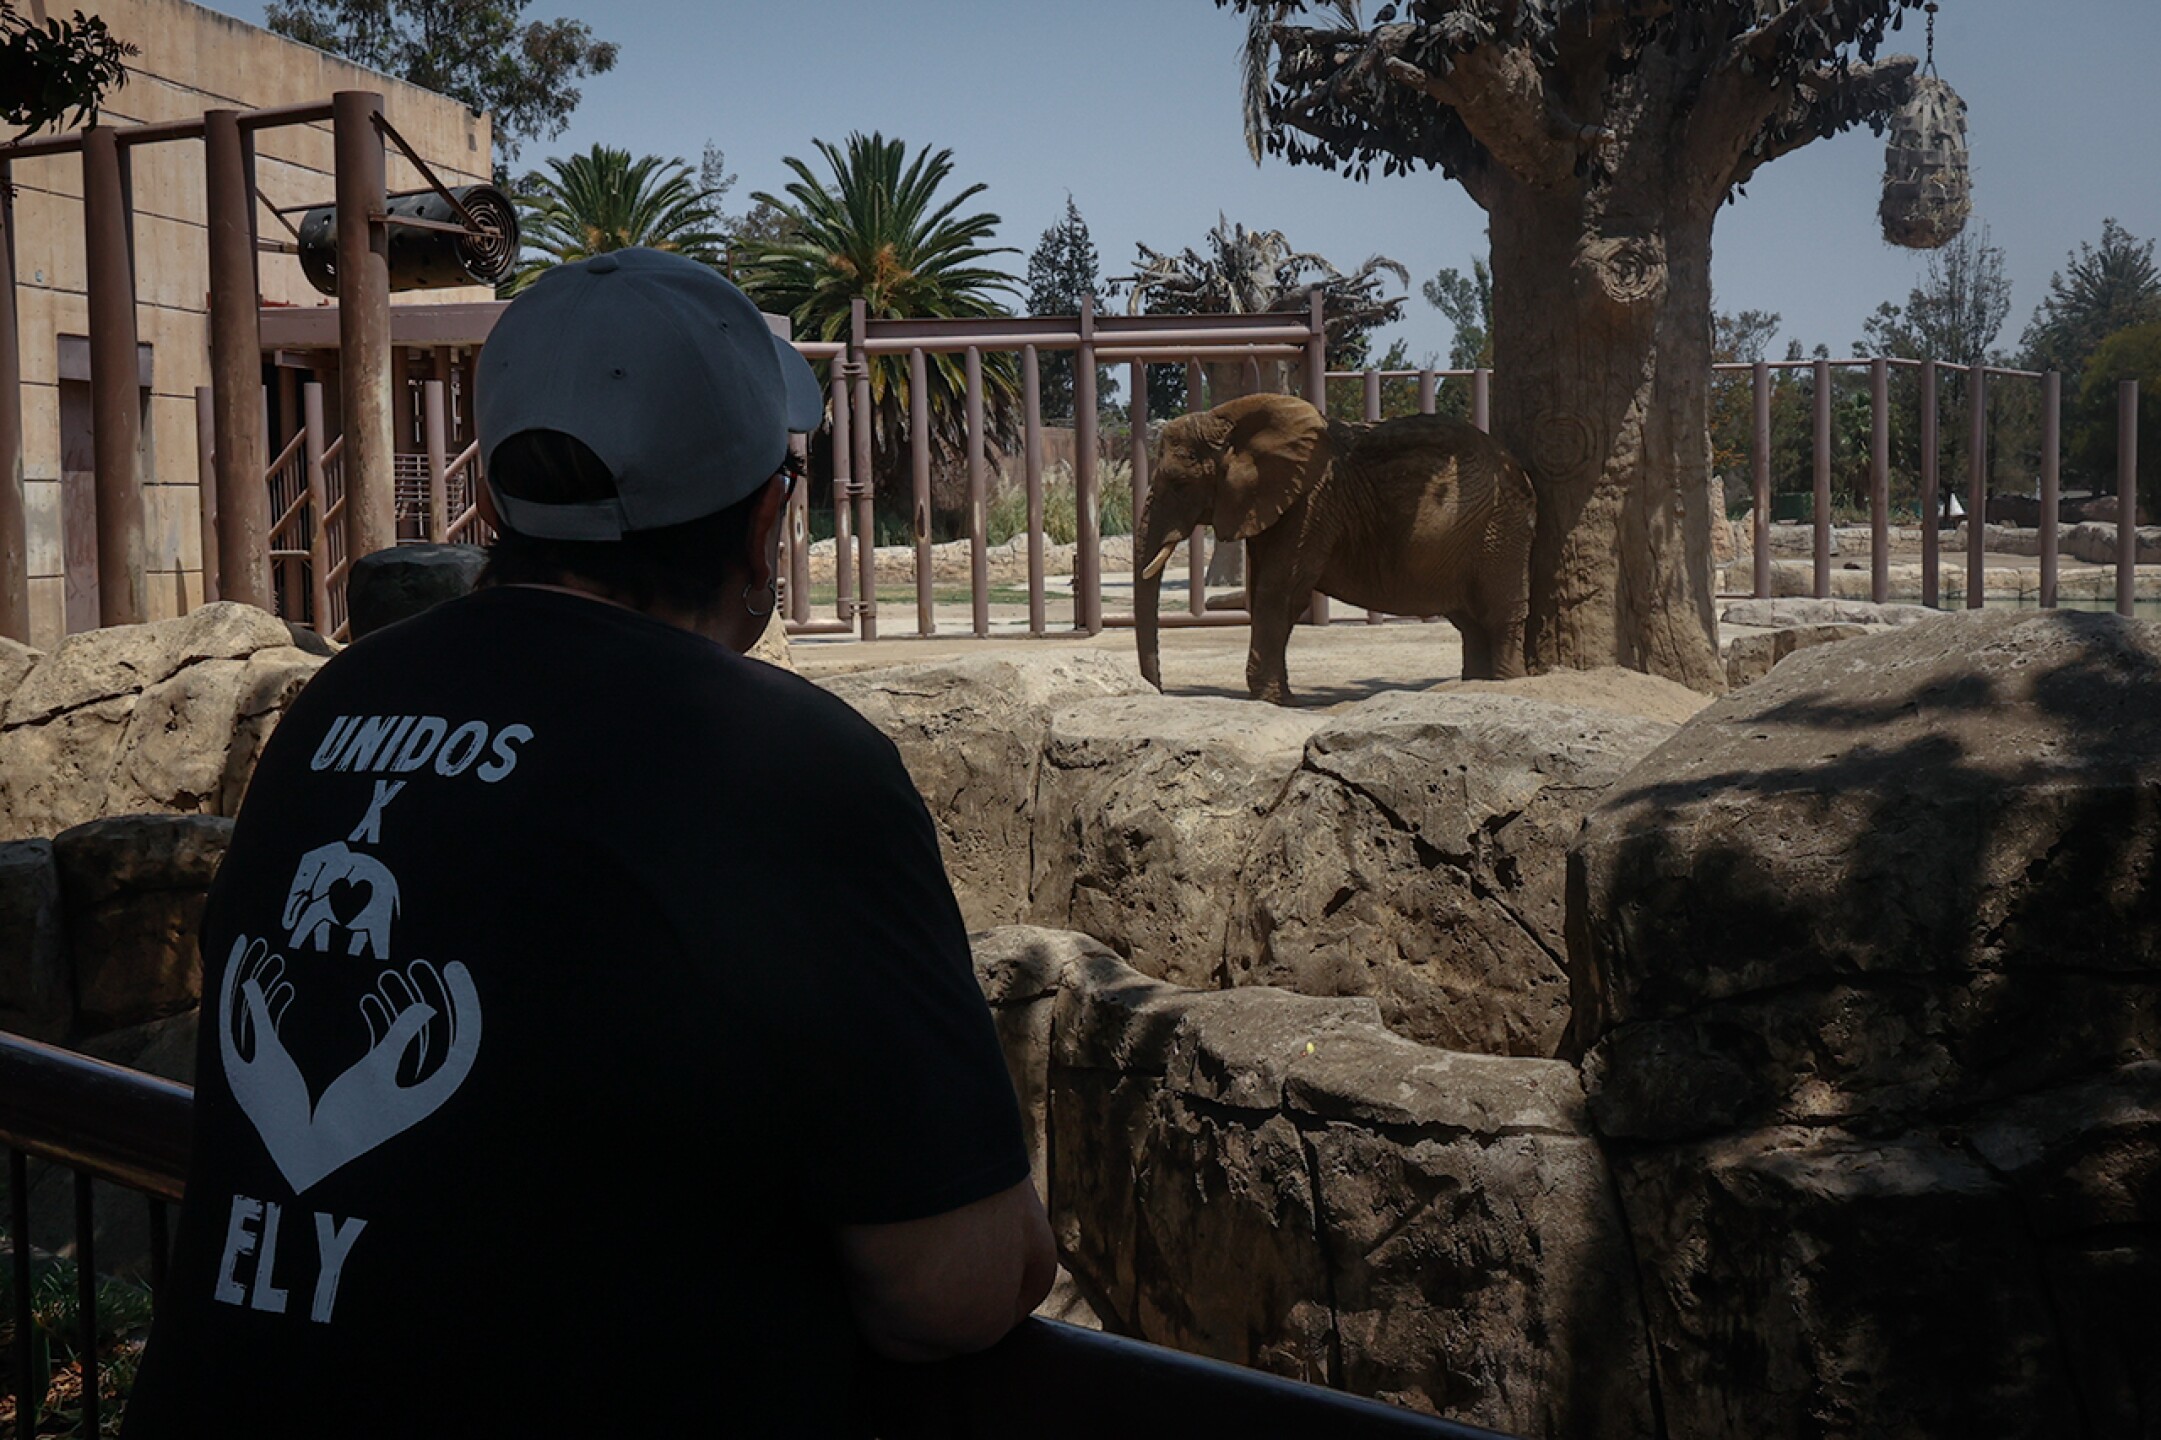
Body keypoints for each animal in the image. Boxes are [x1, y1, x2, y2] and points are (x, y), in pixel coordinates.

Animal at [1136, 393, 1535, 705]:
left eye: (1179, 484)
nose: (1158, 692)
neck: (1229, 421)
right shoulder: (1271, 502)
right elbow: (1263, 585)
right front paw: (1276, 697)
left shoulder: (1312, 501)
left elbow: (1278, 590)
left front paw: (1272, 700)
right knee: (1469, 621)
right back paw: (1474, 686)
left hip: (1499, 528)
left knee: (1499, 611)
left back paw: (1505, 683)